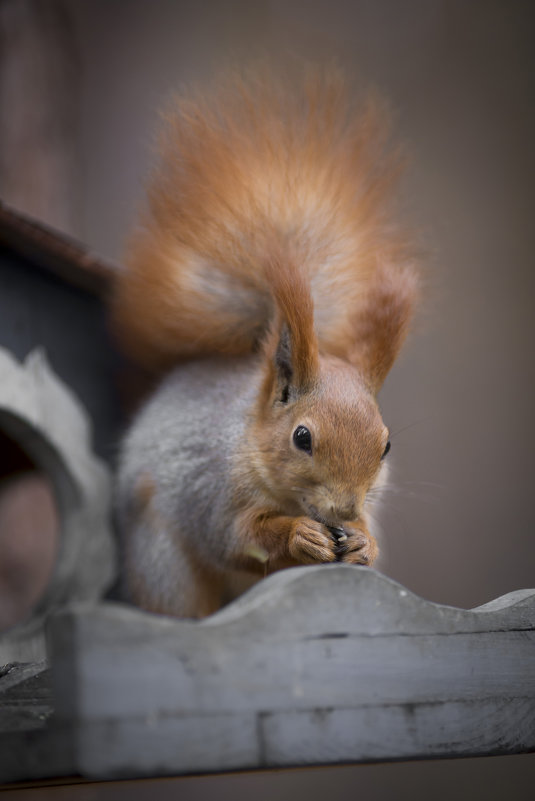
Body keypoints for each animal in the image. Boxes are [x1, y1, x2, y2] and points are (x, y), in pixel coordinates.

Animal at [113, 67, 420, 620]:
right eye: (301, 437)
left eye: (386, 445)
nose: (345, 509)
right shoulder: (212, 491)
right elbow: (236, 535)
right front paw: (300, 535)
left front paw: (363, 542)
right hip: (163, 566)